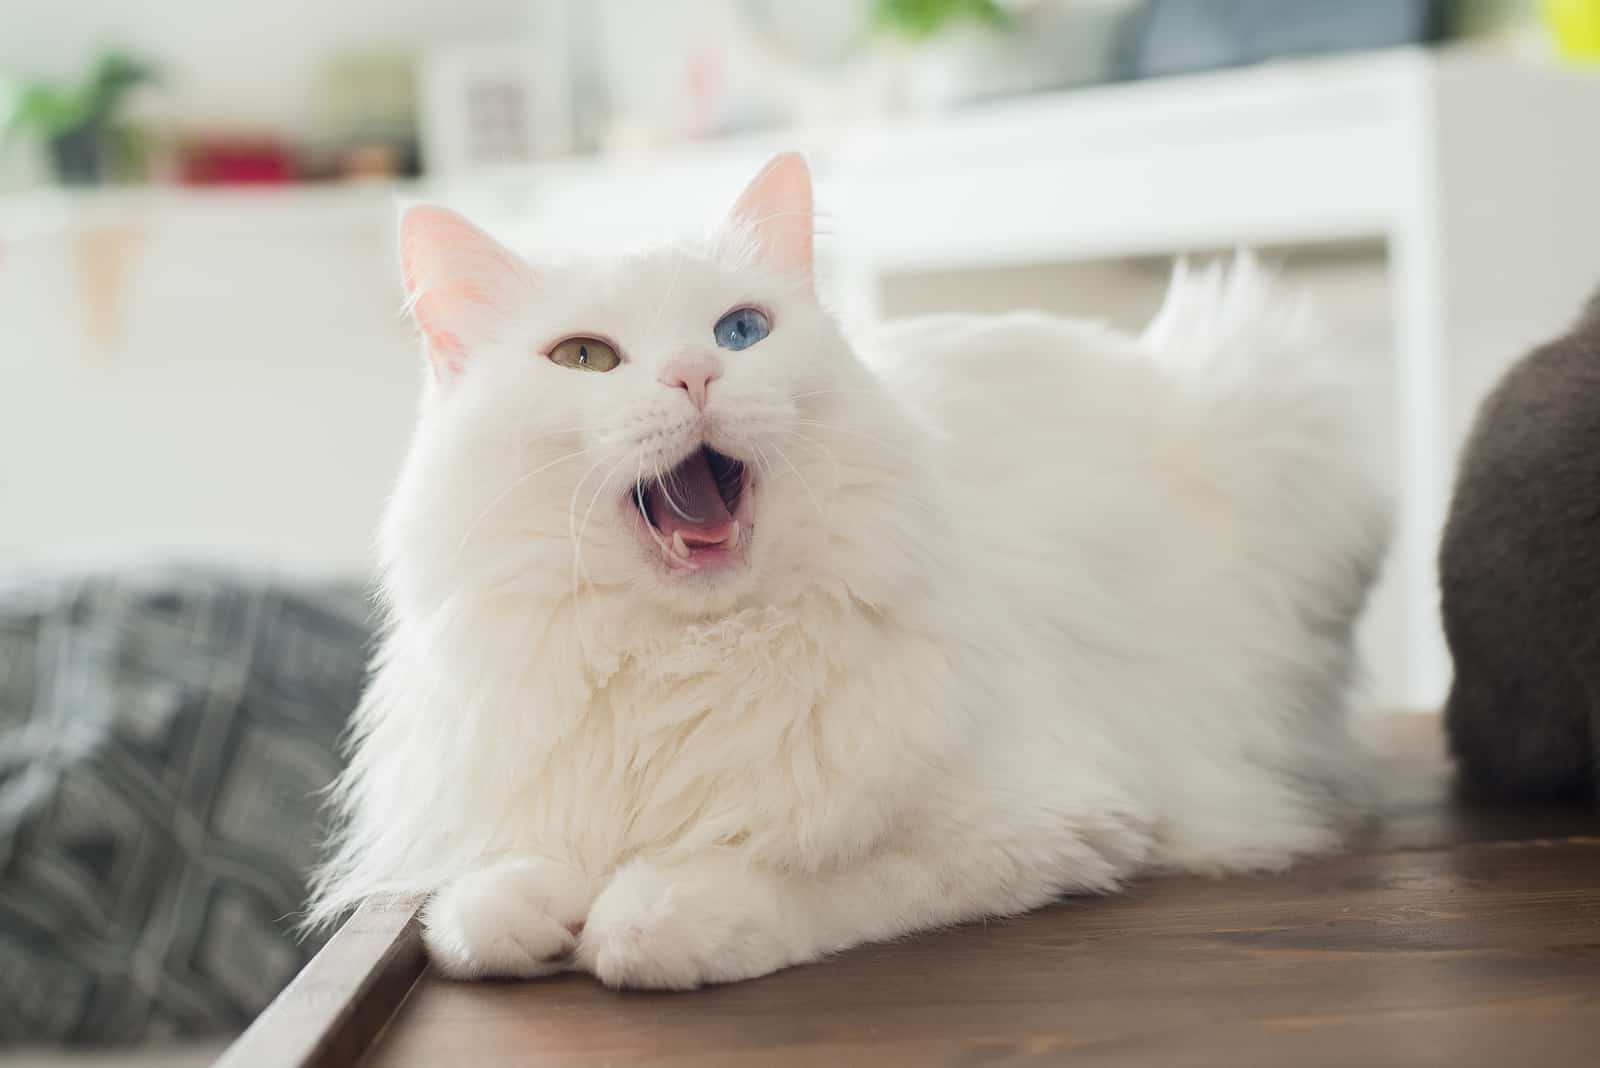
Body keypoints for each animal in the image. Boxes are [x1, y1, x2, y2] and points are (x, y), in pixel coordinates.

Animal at [308, 154, 1388, 991]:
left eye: (741, 331)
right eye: (584, 358)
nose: (696, 376)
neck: (689, 657)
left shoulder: (1051, 818)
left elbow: (796, 879)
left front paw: (649, 914)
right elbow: (472, 915)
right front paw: (533, 910)